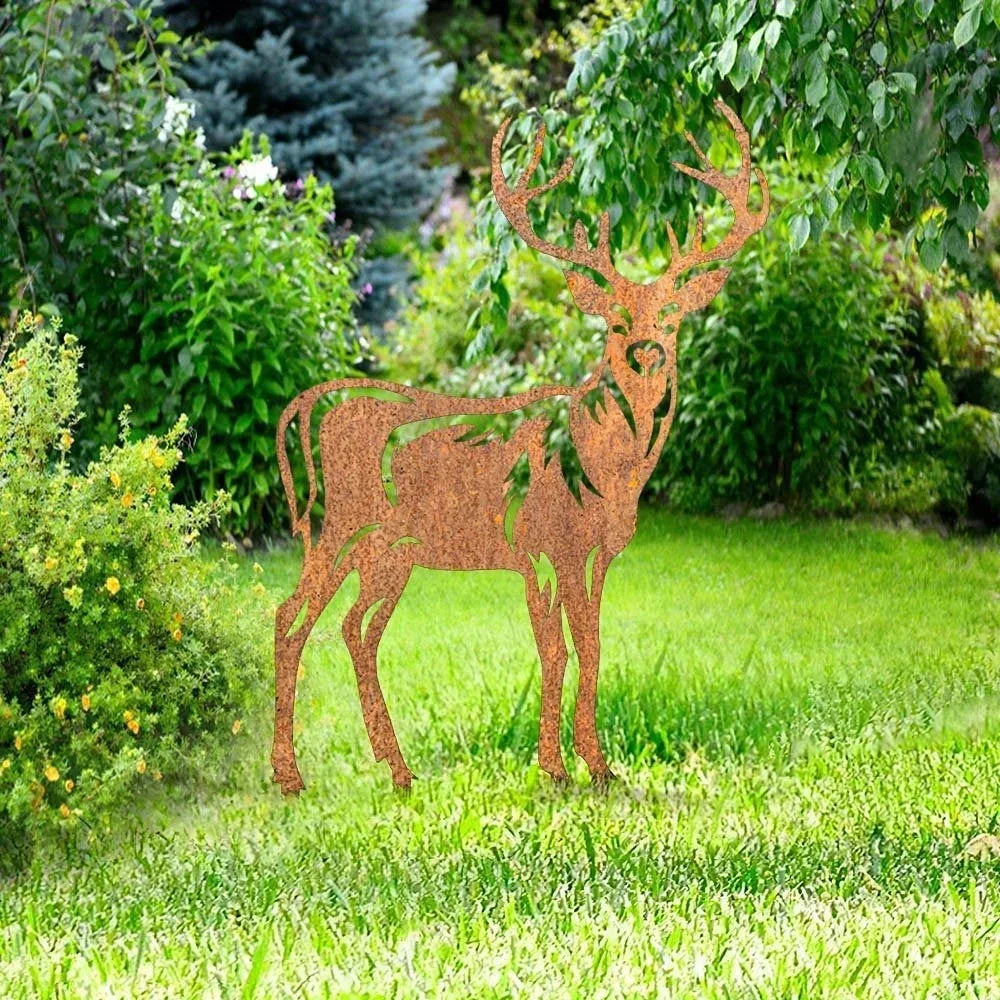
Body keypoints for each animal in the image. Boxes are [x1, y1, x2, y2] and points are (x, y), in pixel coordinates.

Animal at [270, 99, 769, 794]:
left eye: (671, 317)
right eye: (615, 320)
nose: (648, 351)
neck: (606, 468)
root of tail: (308, 406)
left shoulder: (597, 554)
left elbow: (592, 646)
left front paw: (598, 767)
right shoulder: (537, 543)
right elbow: (555, 648)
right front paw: (557, 768)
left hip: (389, 551)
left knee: (355, 630)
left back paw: (398, 770)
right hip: (336, 524)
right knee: (288, 621)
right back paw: (290, 776)